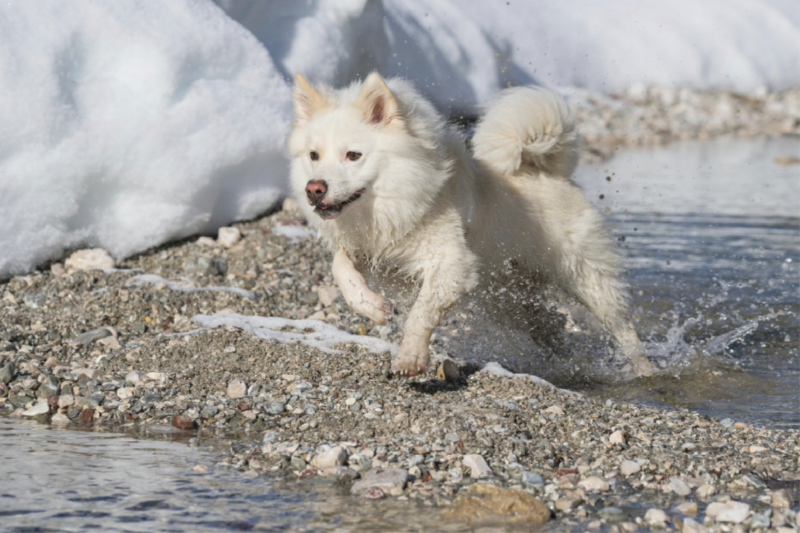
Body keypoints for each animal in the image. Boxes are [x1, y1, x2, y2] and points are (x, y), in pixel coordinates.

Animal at [288, 72, 656, 376]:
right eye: (314, 156)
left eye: (353, 155)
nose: (314, 189)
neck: (399, 197)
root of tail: (550, 172)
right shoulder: (370, 248)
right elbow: (340, 268)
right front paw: (374, 308)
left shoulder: (451, 262)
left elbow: (420, 313)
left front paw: (411, 358)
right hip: (507, 299)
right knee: (551, 325)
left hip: (586, 277)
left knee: (623, 327)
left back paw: (643, 369)